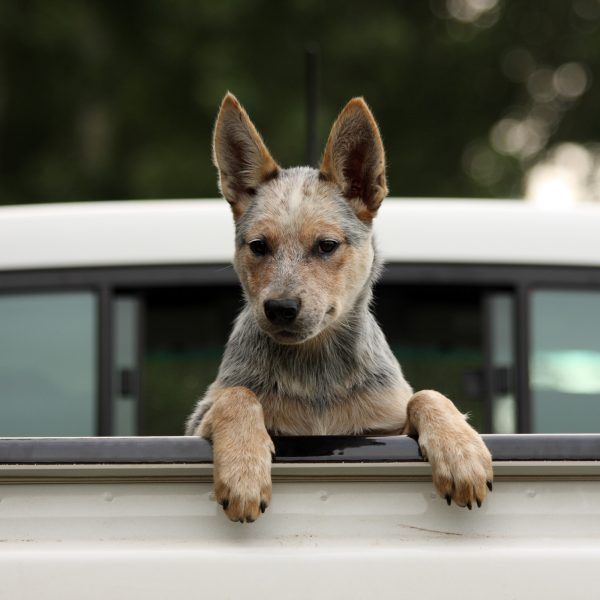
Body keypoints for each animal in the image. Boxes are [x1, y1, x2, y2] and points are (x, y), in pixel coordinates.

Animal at [186, 92, 492, 520]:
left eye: (326, 245)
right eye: (259, 246)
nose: (280, 307)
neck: (316, 373)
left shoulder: (384, 424)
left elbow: (425, 395)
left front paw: (461, 451)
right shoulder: (198, 419)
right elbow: (238, 396)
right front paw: (243, 470)